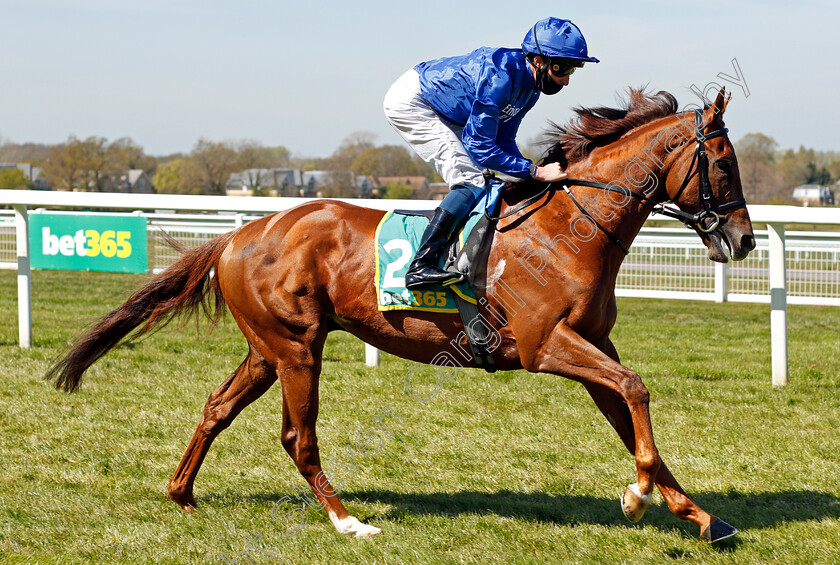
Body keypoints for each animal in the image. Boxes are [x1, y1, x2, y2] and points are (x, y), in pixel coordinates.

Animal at [46, 86, 756, 540]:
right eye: (723, 163)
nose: (745, 240)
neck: (565, 229)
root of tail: (240, 234)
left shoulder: (591, 345)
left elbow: (632, 413)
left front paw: (698, 515)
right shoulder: (544, 347)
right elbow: (636, 392)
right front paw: (638, 498)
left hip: (267, 350)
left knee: (217, 407)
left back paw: (182, 493)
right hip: (297, 348)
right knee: (298, 437)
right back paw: (347, 521)